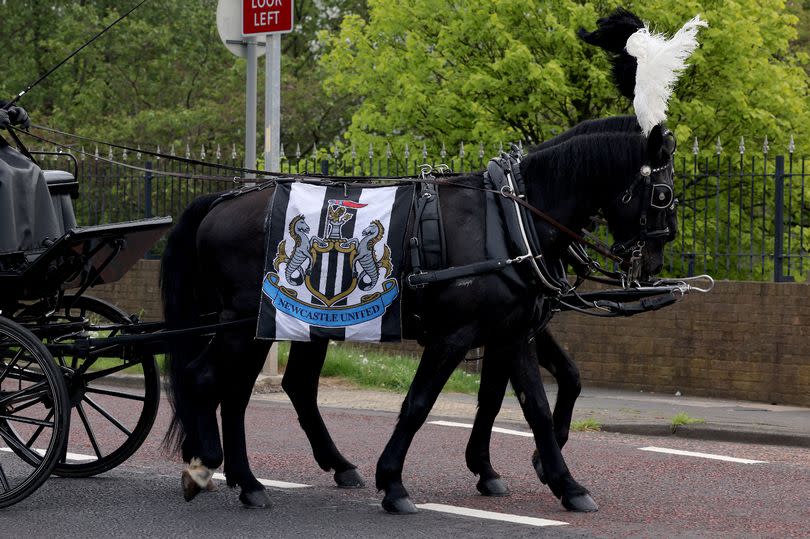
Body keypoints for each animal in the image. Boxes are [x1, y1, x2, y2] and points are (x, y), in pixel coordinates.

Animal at [159, 120, 676, 512]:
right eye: (662, 194)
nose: (652, 263)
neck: (510, 219)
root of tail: (224, 199)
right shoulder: (457, 335)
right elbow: (419, 403)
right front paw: (394, 482)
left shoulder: (513, 334)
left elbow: (534, 406)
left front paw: (563, 483)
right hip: (248, 322)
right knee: (206, 379)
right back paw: (211, 467)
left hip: (271, 326)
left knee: (252, 391)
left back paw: (261, 478)